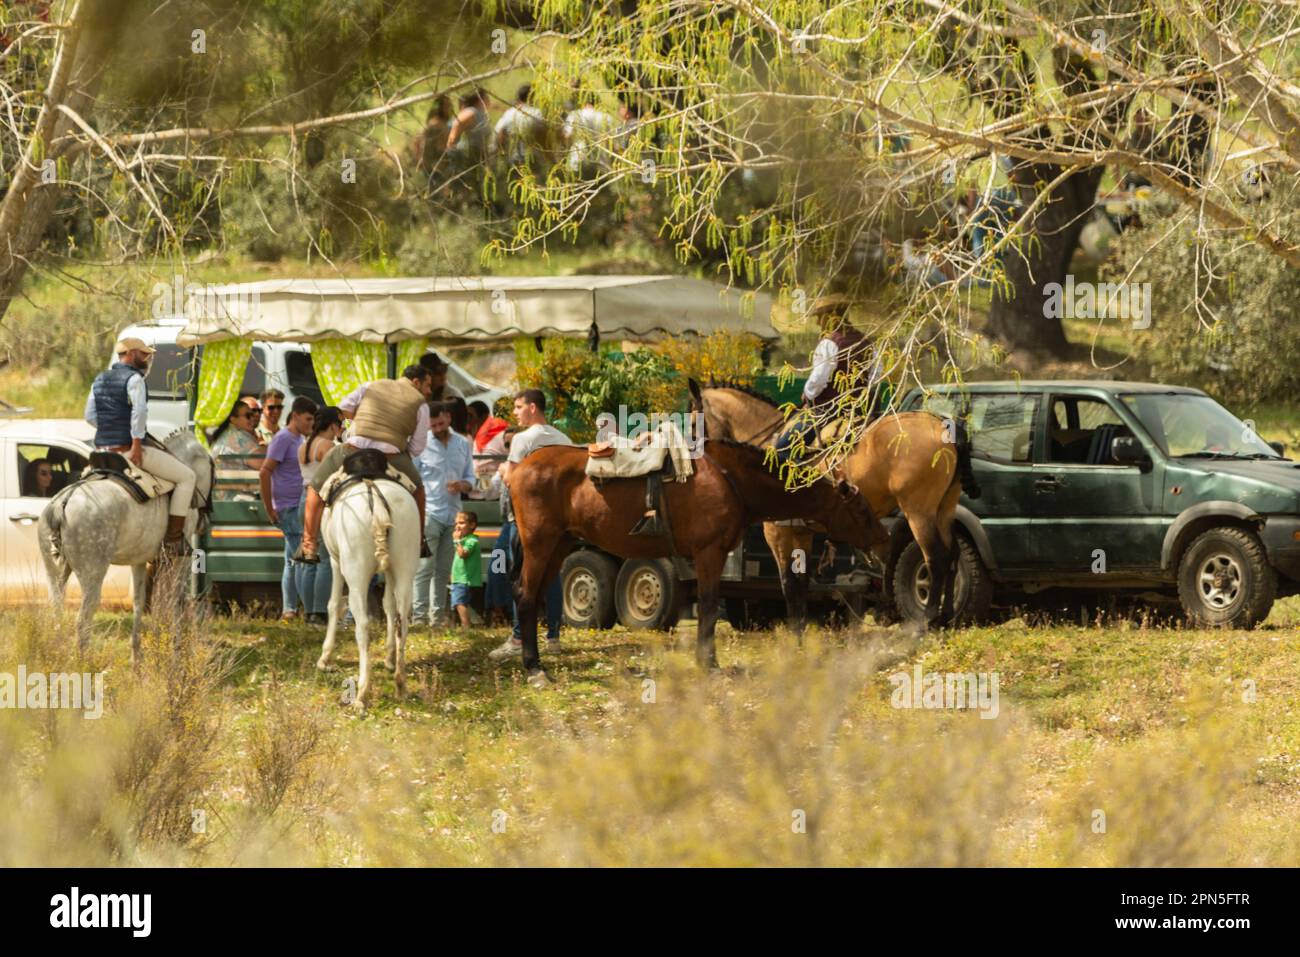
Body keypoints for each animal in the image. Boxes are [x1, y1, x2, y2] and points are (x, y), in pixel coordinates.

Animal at [37, 429, 213, 660]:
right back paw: (85, 663)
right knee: (83, 621)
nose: (205, 520)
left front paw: (137, 654)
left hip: (54, 572)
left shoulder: (139, 561)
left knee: (55, 613)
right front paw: (174, 649)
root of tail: (64, 502)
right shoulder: (178, 562)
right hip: (92, 574)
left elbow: (140, 602)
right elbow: (173, 601)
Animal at [313, 478, 418, 712]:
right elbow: (388, 605)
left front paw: (325, 658)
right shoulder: (388, 572)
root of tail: (376, 497)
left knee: (362, 626)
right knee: (402, 621)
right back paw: (400, 683)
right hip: (404, 568)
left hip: (355, 573)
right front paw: (389, 658)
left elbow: (333, 604)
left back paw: (362, 692)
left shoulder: (335, 561)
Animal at [504, 436, 883, 676]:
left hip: (559, 545)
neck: (730, 478)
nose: (884, 535)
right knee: (525, 596)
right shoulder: (709, 554)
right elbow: (710, 606)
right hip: (540, 544)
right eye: (861, 510)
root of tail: (520, 467)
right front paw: (709, 663)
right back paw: (533, 668)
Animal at [686, 377, 977, 631]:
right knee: (952, 554)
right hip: (944, 508)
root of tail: (942, 426)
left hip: (918, 512)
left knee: (935, 557)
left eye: (691, 424)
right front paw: (801, 628)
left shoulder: (777, 532)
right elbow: (801, 584)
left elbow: (788, 584)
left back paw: (927, 619)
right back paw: (947, 616)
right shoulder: (801, 532)